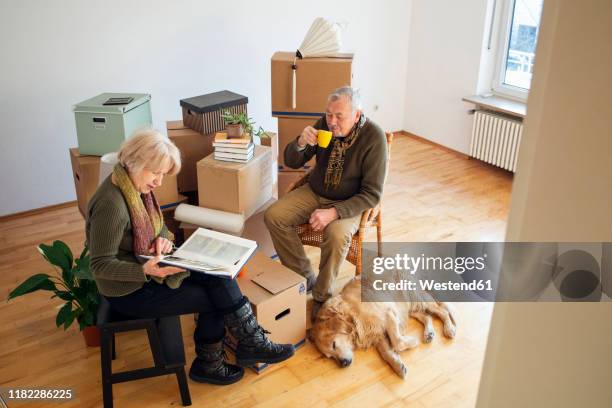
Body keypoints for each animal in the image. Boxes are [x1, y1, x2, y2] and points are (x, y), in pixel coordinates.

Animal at [314, 278, 456, 378]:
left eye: (334, 345)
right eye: (330, 357)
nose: (343, 364)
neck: (351, 312)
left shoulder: (387, 314)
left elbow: (397, 342)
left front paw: (412, 342)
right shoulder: (377, 332)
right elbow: (386, 352)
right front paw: (398, 366)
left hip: (414, 297)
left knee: (443, 311)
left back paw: (449, 329)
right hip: (409, 307)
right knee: (427, 316)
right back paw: (429, 333)